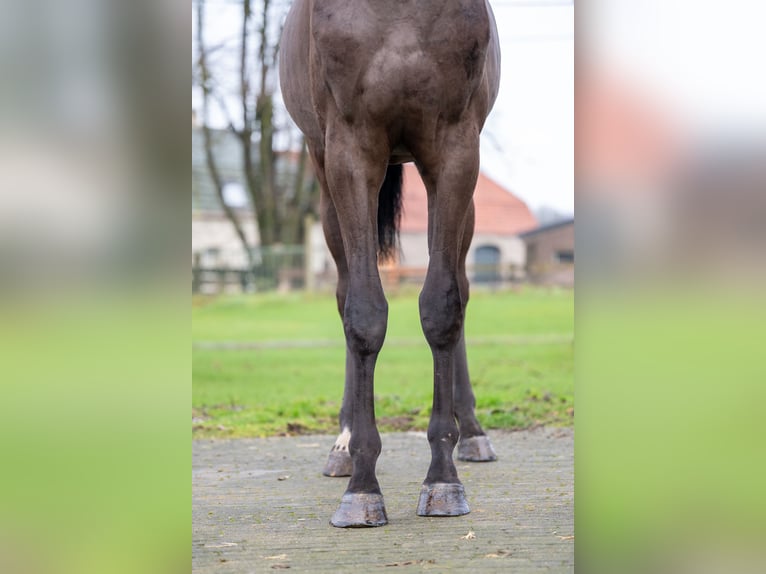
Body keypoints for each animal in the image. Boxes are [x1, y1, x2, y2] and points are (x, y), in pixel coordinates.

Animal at [282, 1, 504, 532]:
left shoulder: (455, 150)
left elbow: (442, 307)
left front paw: (442, 480)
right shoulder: (350, 152)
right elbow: (363, 314)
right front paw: (362, 488)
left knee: (460, 289)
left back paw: (472, 433)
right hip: (325, 180)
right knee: (344, 294)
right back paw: (343, 447)